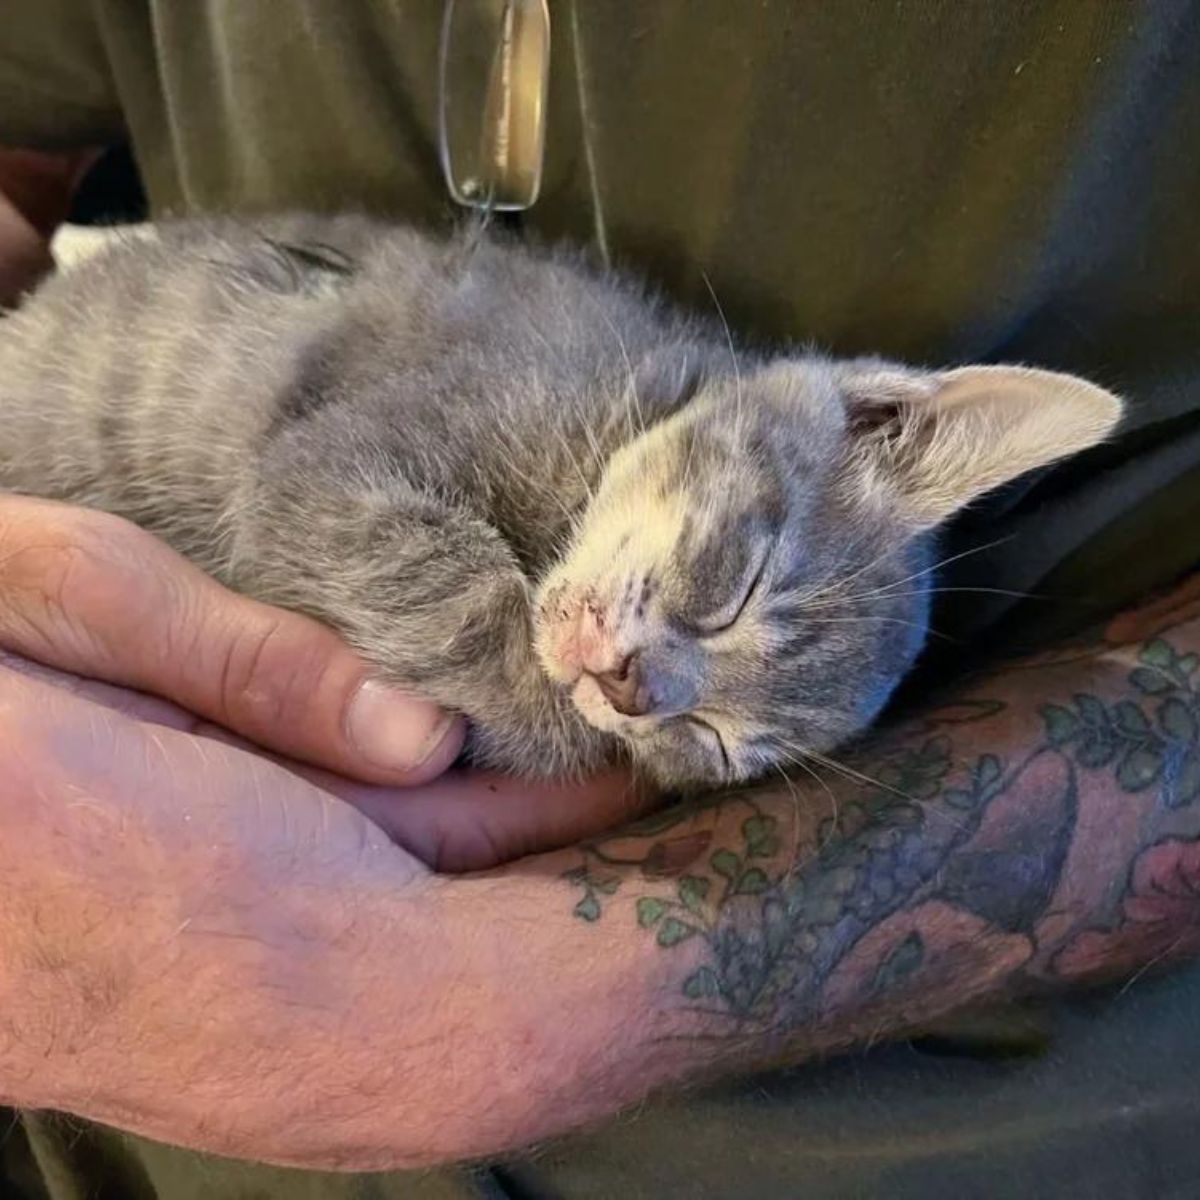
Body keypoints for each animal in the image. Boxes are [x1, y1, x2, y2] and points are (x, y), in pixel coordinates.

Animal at [0, 218, 1123, 787]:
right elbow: (449, 587)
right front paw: (524, 690)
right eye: (740, 586)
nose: (633, 691)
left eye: (715, 744)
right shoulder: (330, 461)